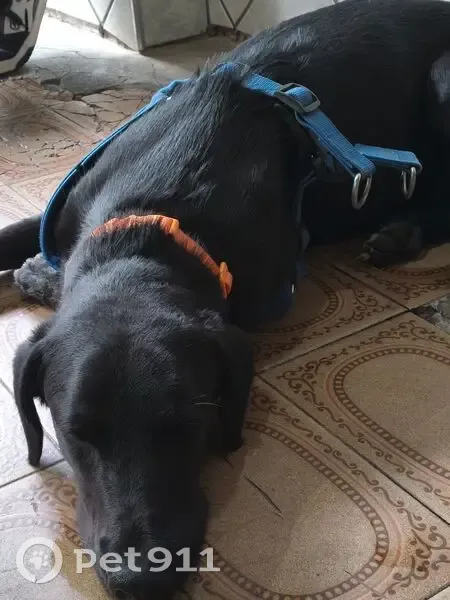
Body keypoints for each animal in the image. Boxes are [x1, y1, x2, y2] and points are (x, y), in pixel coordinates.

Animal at [3, 0, 450, 597]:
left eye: (189, 425)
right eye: (75, 434)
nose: (141, 578)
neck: (150, 223)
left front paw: (34, 274)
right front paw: (34, 267)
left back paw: (403, 233)